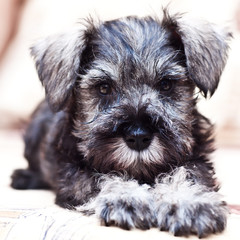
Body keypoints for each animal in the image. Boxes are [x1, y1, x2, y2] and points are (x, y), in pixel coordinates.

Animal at [10, 9, 232, 238]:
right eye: (104, 88)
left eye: (166, 84)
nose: (138, 136)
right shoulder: (74, 173)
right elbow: (103, 178)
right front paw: (125, 198)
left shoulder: (196, 159)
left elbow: (187, 174)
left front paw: (189, 203)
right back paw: (23, 177)